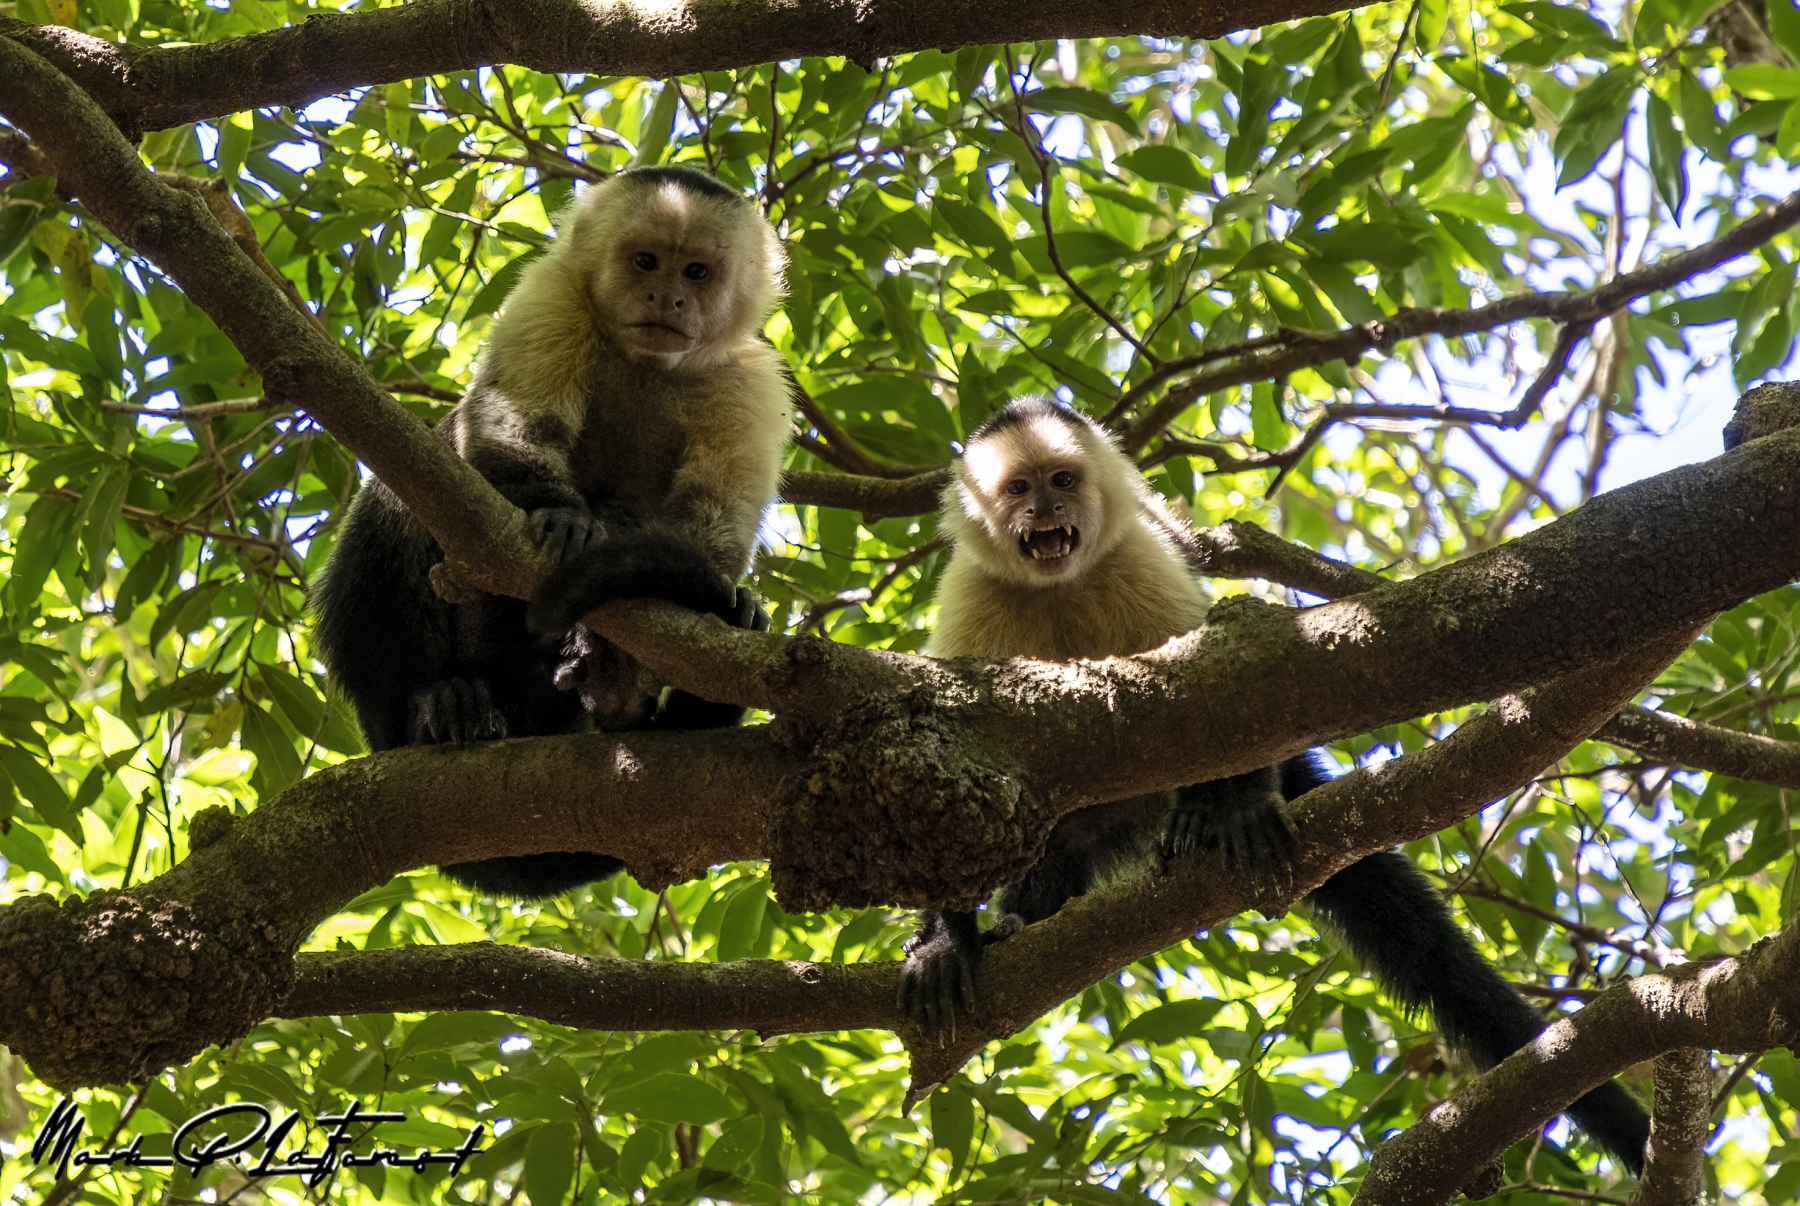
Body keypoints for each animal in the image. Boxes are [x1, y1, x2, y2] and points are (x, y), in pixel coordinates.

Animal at [312, 164, 790, 902]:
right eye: (646, 261)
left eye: (697, 271)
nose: (667, 296)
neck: (645, 364)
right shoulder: (552, 298)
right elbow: (518, 426)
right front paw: (560, 514)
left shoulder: (751, 381)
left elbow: (712, 520)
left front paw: (633, 660)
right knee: (408, 490)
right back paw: (436, 705)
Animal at [899, 396, 1649, 1174]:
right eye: (1019, 488)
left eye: (1063, 479)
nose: (1045, 508)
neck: (1061, 587)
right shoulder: (970, 600)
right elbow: (937, 800)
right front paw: (943, 942)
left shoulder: (1142, 561)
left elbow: (1232, 694)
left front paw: (1238, 807)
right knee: (1042, 855)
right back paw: (1022, 916)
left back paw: (1206, 818)